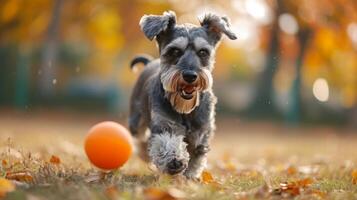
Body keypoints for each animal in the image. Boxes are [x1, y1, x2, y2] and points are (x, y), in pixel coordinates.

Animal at [128, 10, 236, 180]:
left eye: (203, 52)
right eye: (175, 51)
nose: (190, 76)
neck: (185, 109)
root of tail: (149, 62)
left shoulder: (202, 131)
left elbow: (196, 156)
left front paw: (190, 175)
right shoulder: (165, 124)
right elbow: (166, 141)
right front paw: (174, 160)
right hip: (136, 122)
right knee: (140, 140)